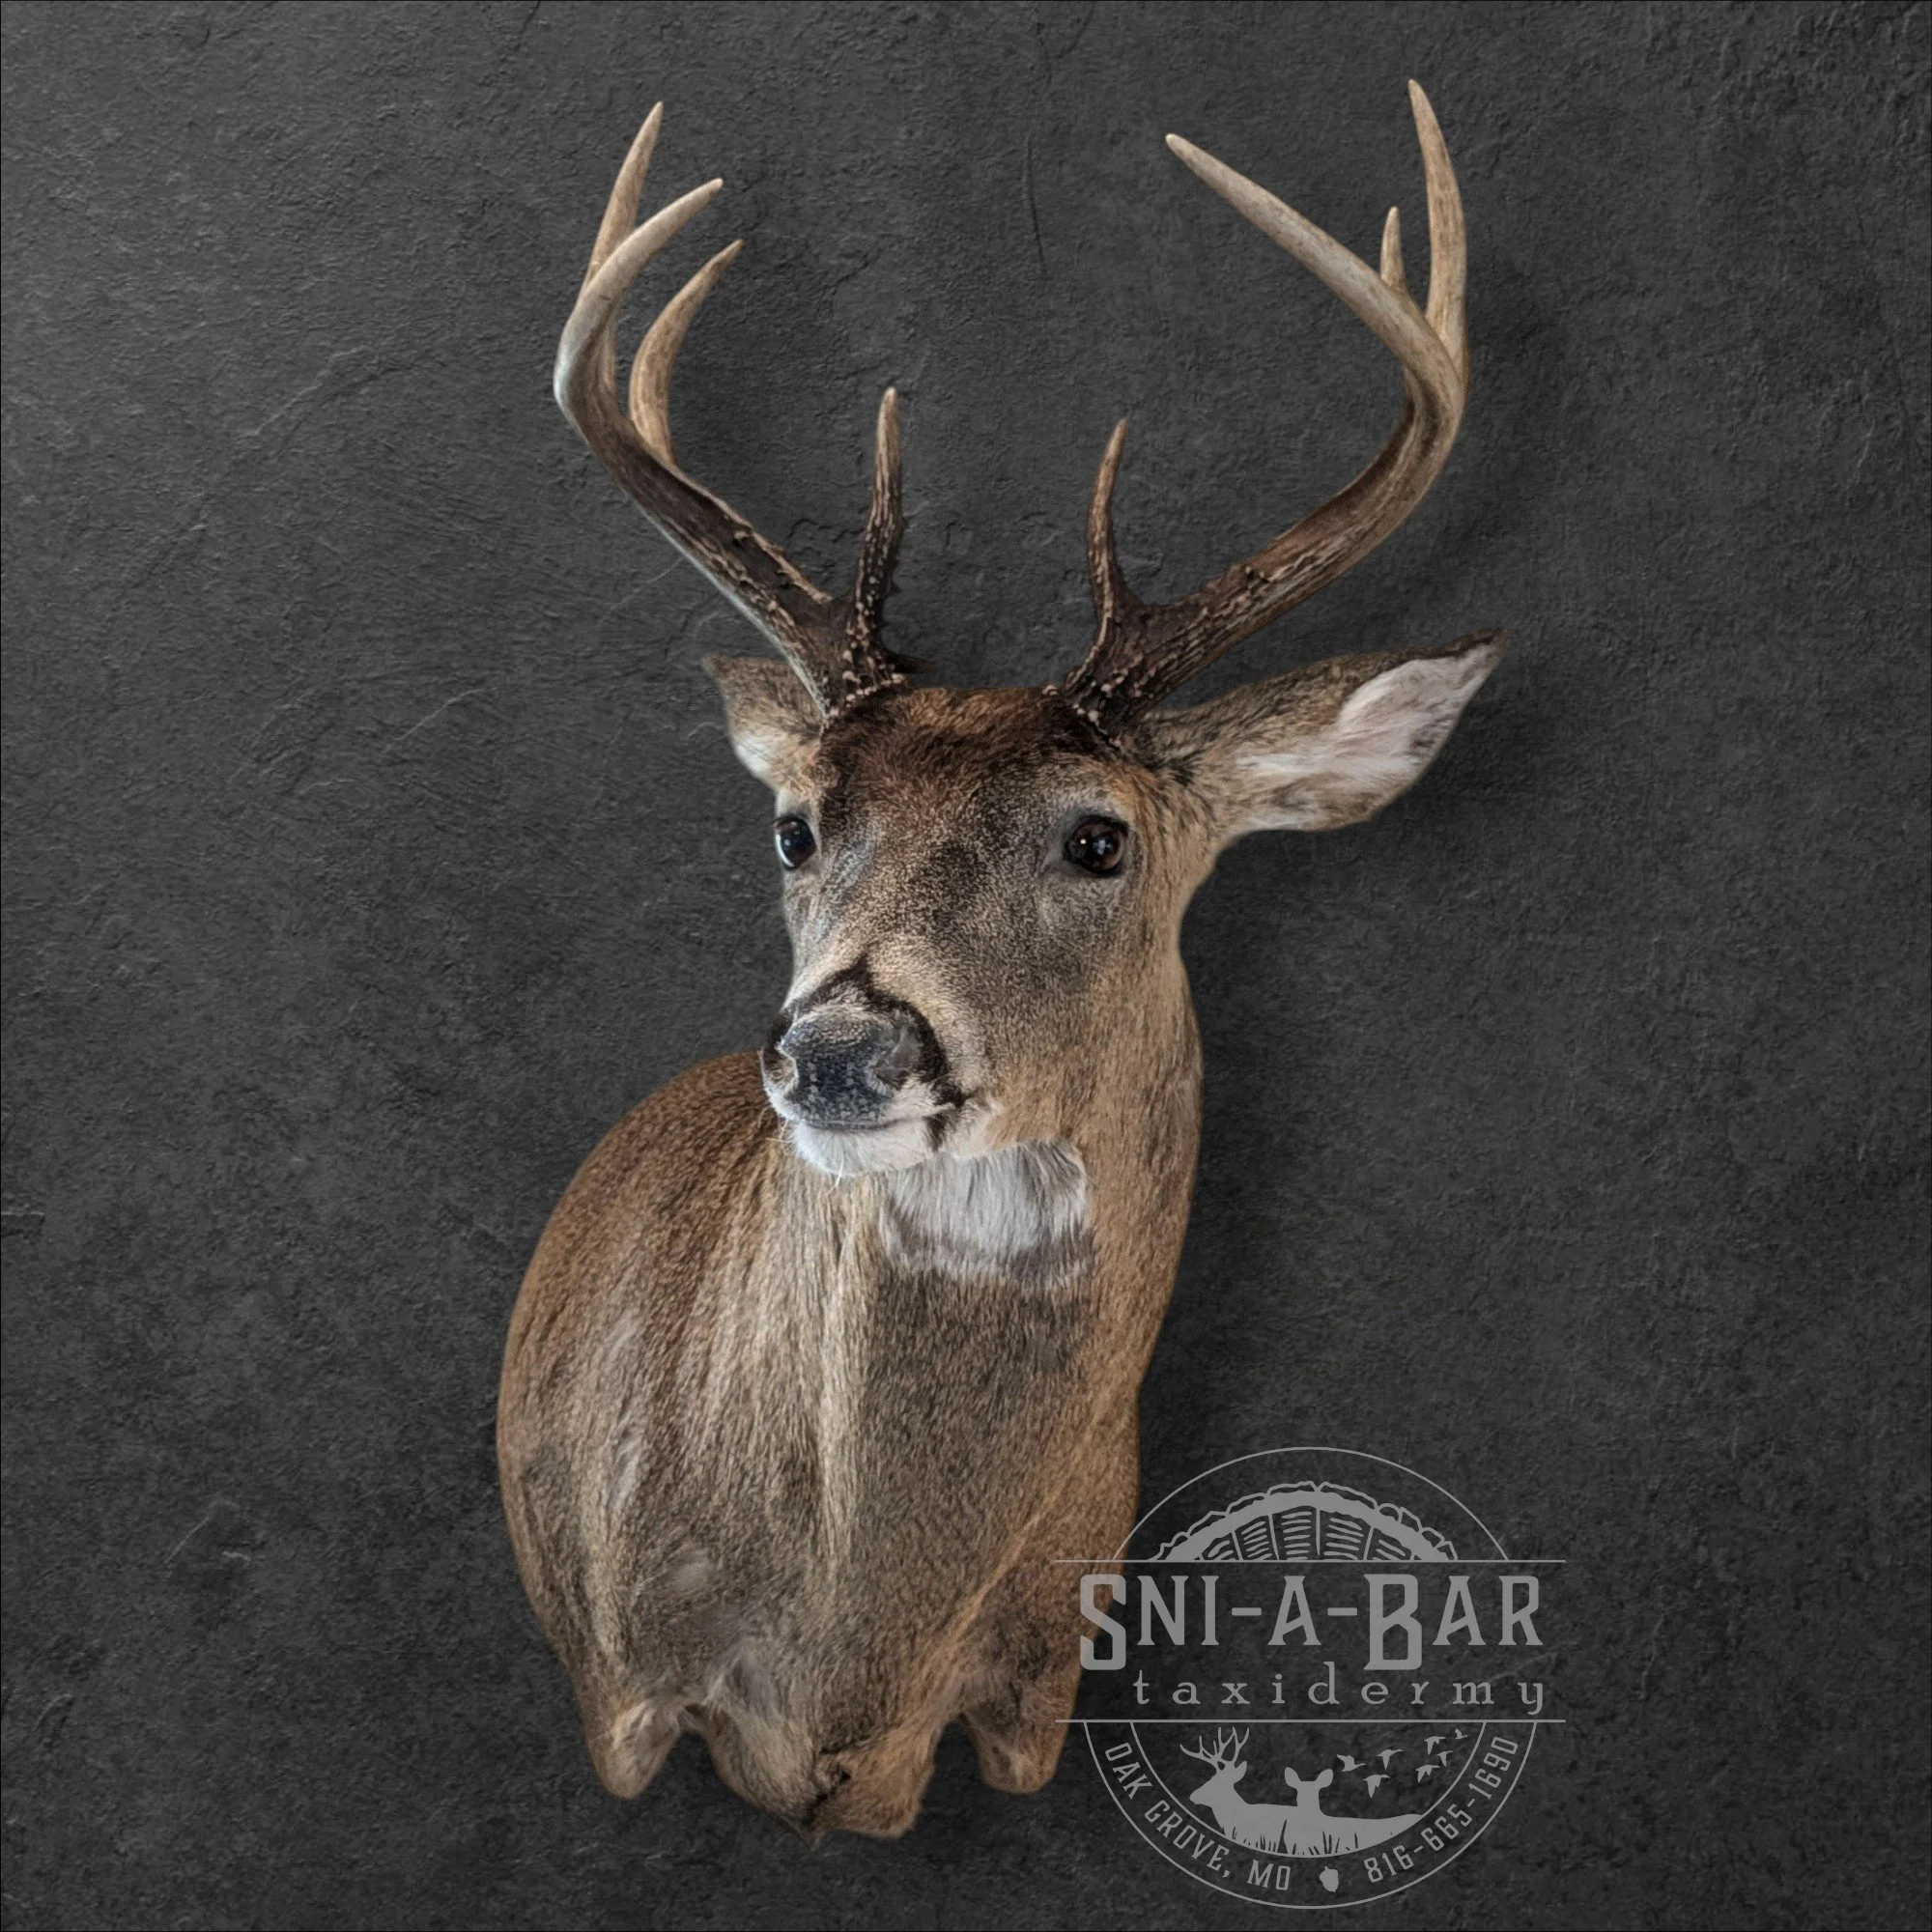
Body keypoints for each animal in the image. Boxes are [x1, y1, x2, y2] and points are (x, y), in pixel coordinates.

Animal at [498, 82, 1506, 1843]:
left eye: (1099, 839)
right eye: (797, 826)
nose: (840, 1047)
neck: (856, 1662)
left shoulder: (1043, 1688)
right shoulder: (626, 1679)